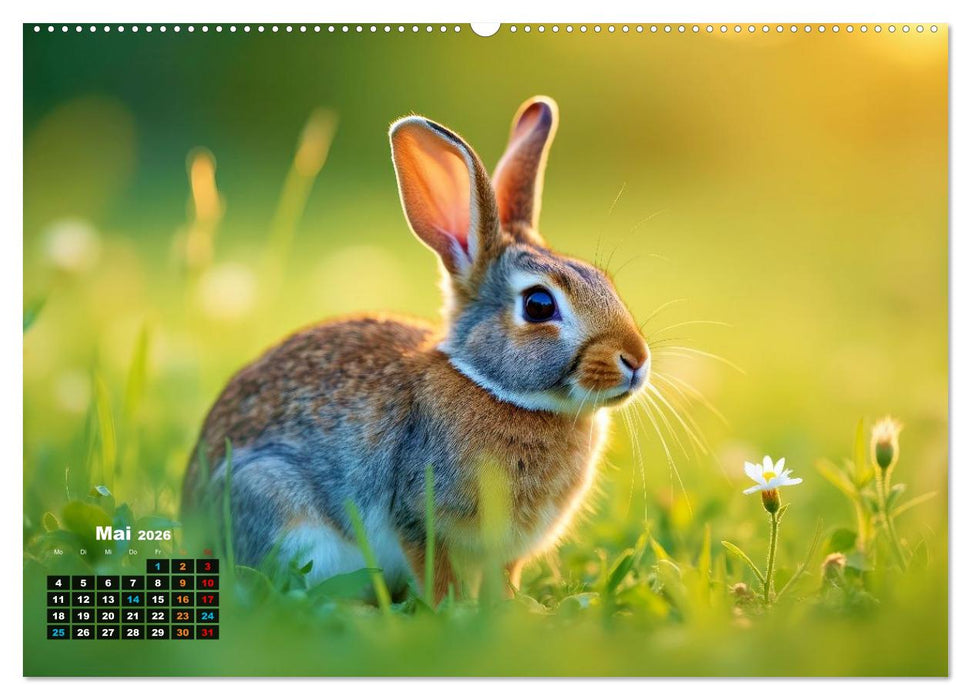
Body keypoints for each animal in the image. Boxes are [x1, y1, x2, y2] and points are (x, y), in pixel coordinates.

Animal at [181, 96, 650, 601]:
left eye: (604, 282)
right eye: (539, 304)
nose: (637, 361)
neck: (493, 387)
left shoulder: (507, 550)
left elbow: (504, 577)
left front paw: (515, 609)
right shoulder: (417, 515)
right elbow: (435, 568)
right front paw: (452, 608)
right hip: (273, 500)